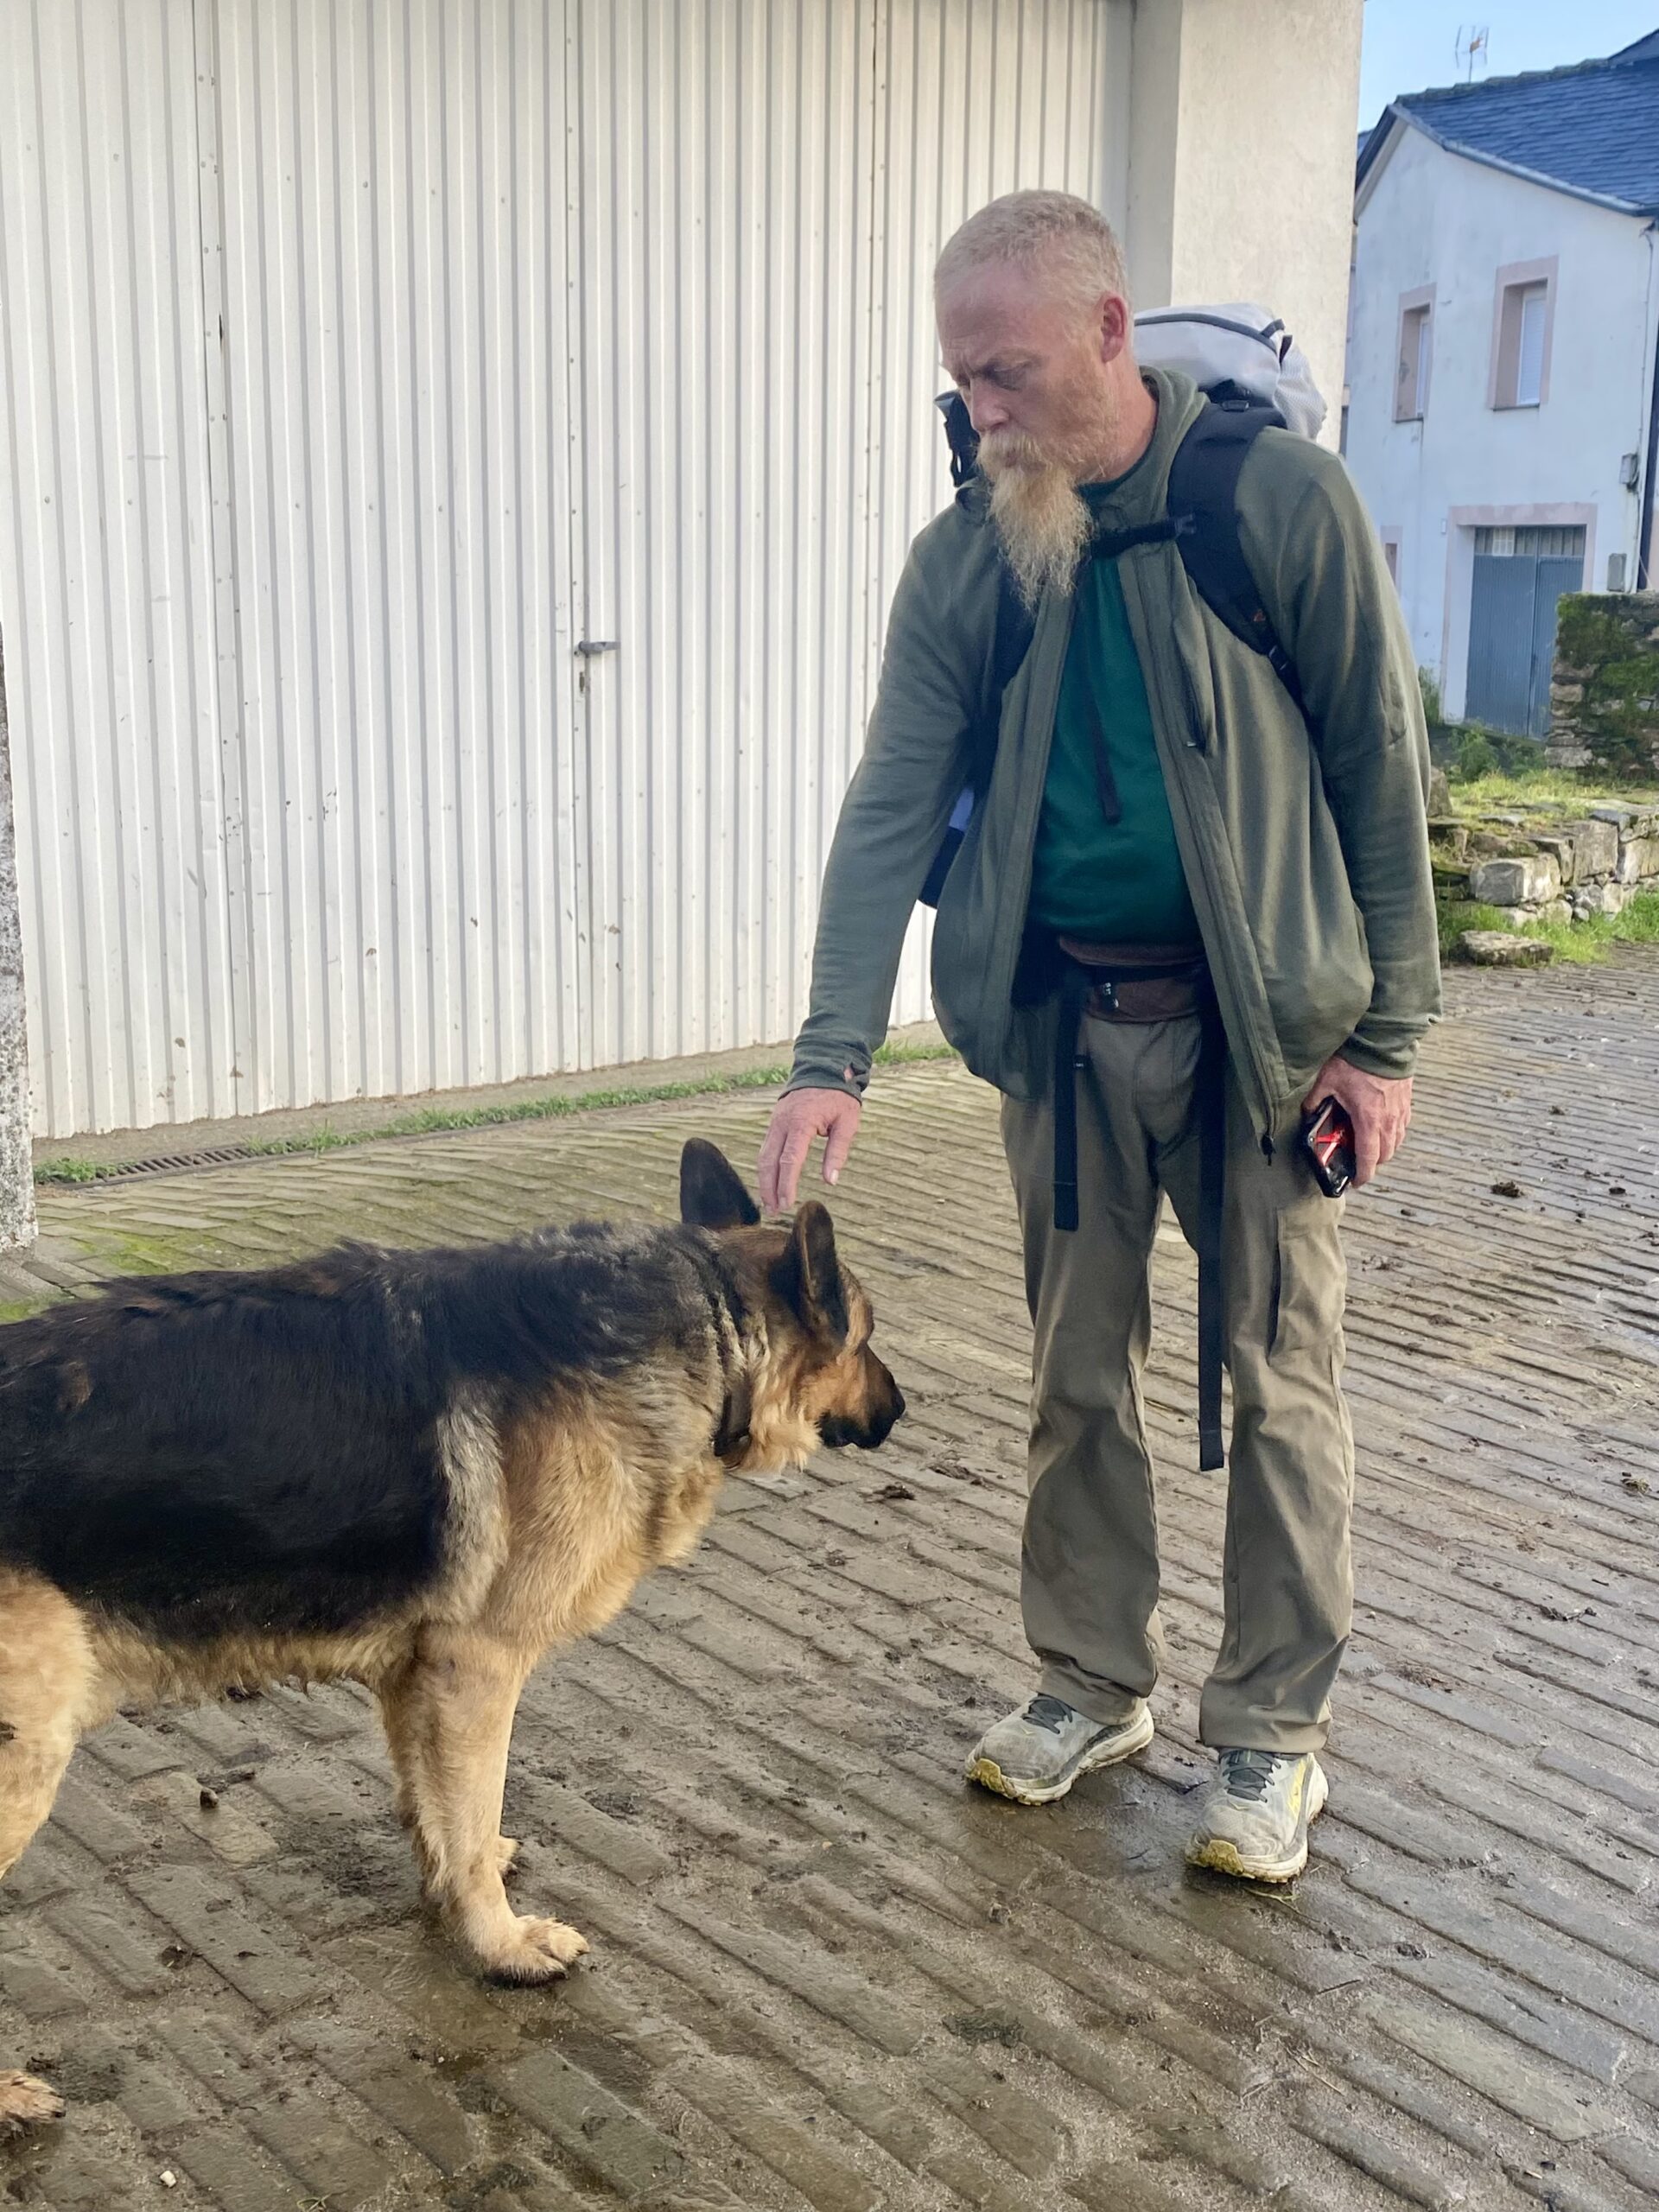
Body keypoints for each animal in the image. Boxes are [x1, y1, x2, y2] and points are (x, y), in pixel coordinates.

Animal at [0, 1138, 904, 2134]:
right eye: (865, 1336)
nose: (903, 1407)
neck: (707, 1319)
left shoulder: (420, 1671)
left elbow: (438, 1803)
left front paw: (450, 1878)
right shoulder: (478, 1667)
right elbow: (472, 1815)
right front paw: (501, 1941)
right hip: (25, 1761)